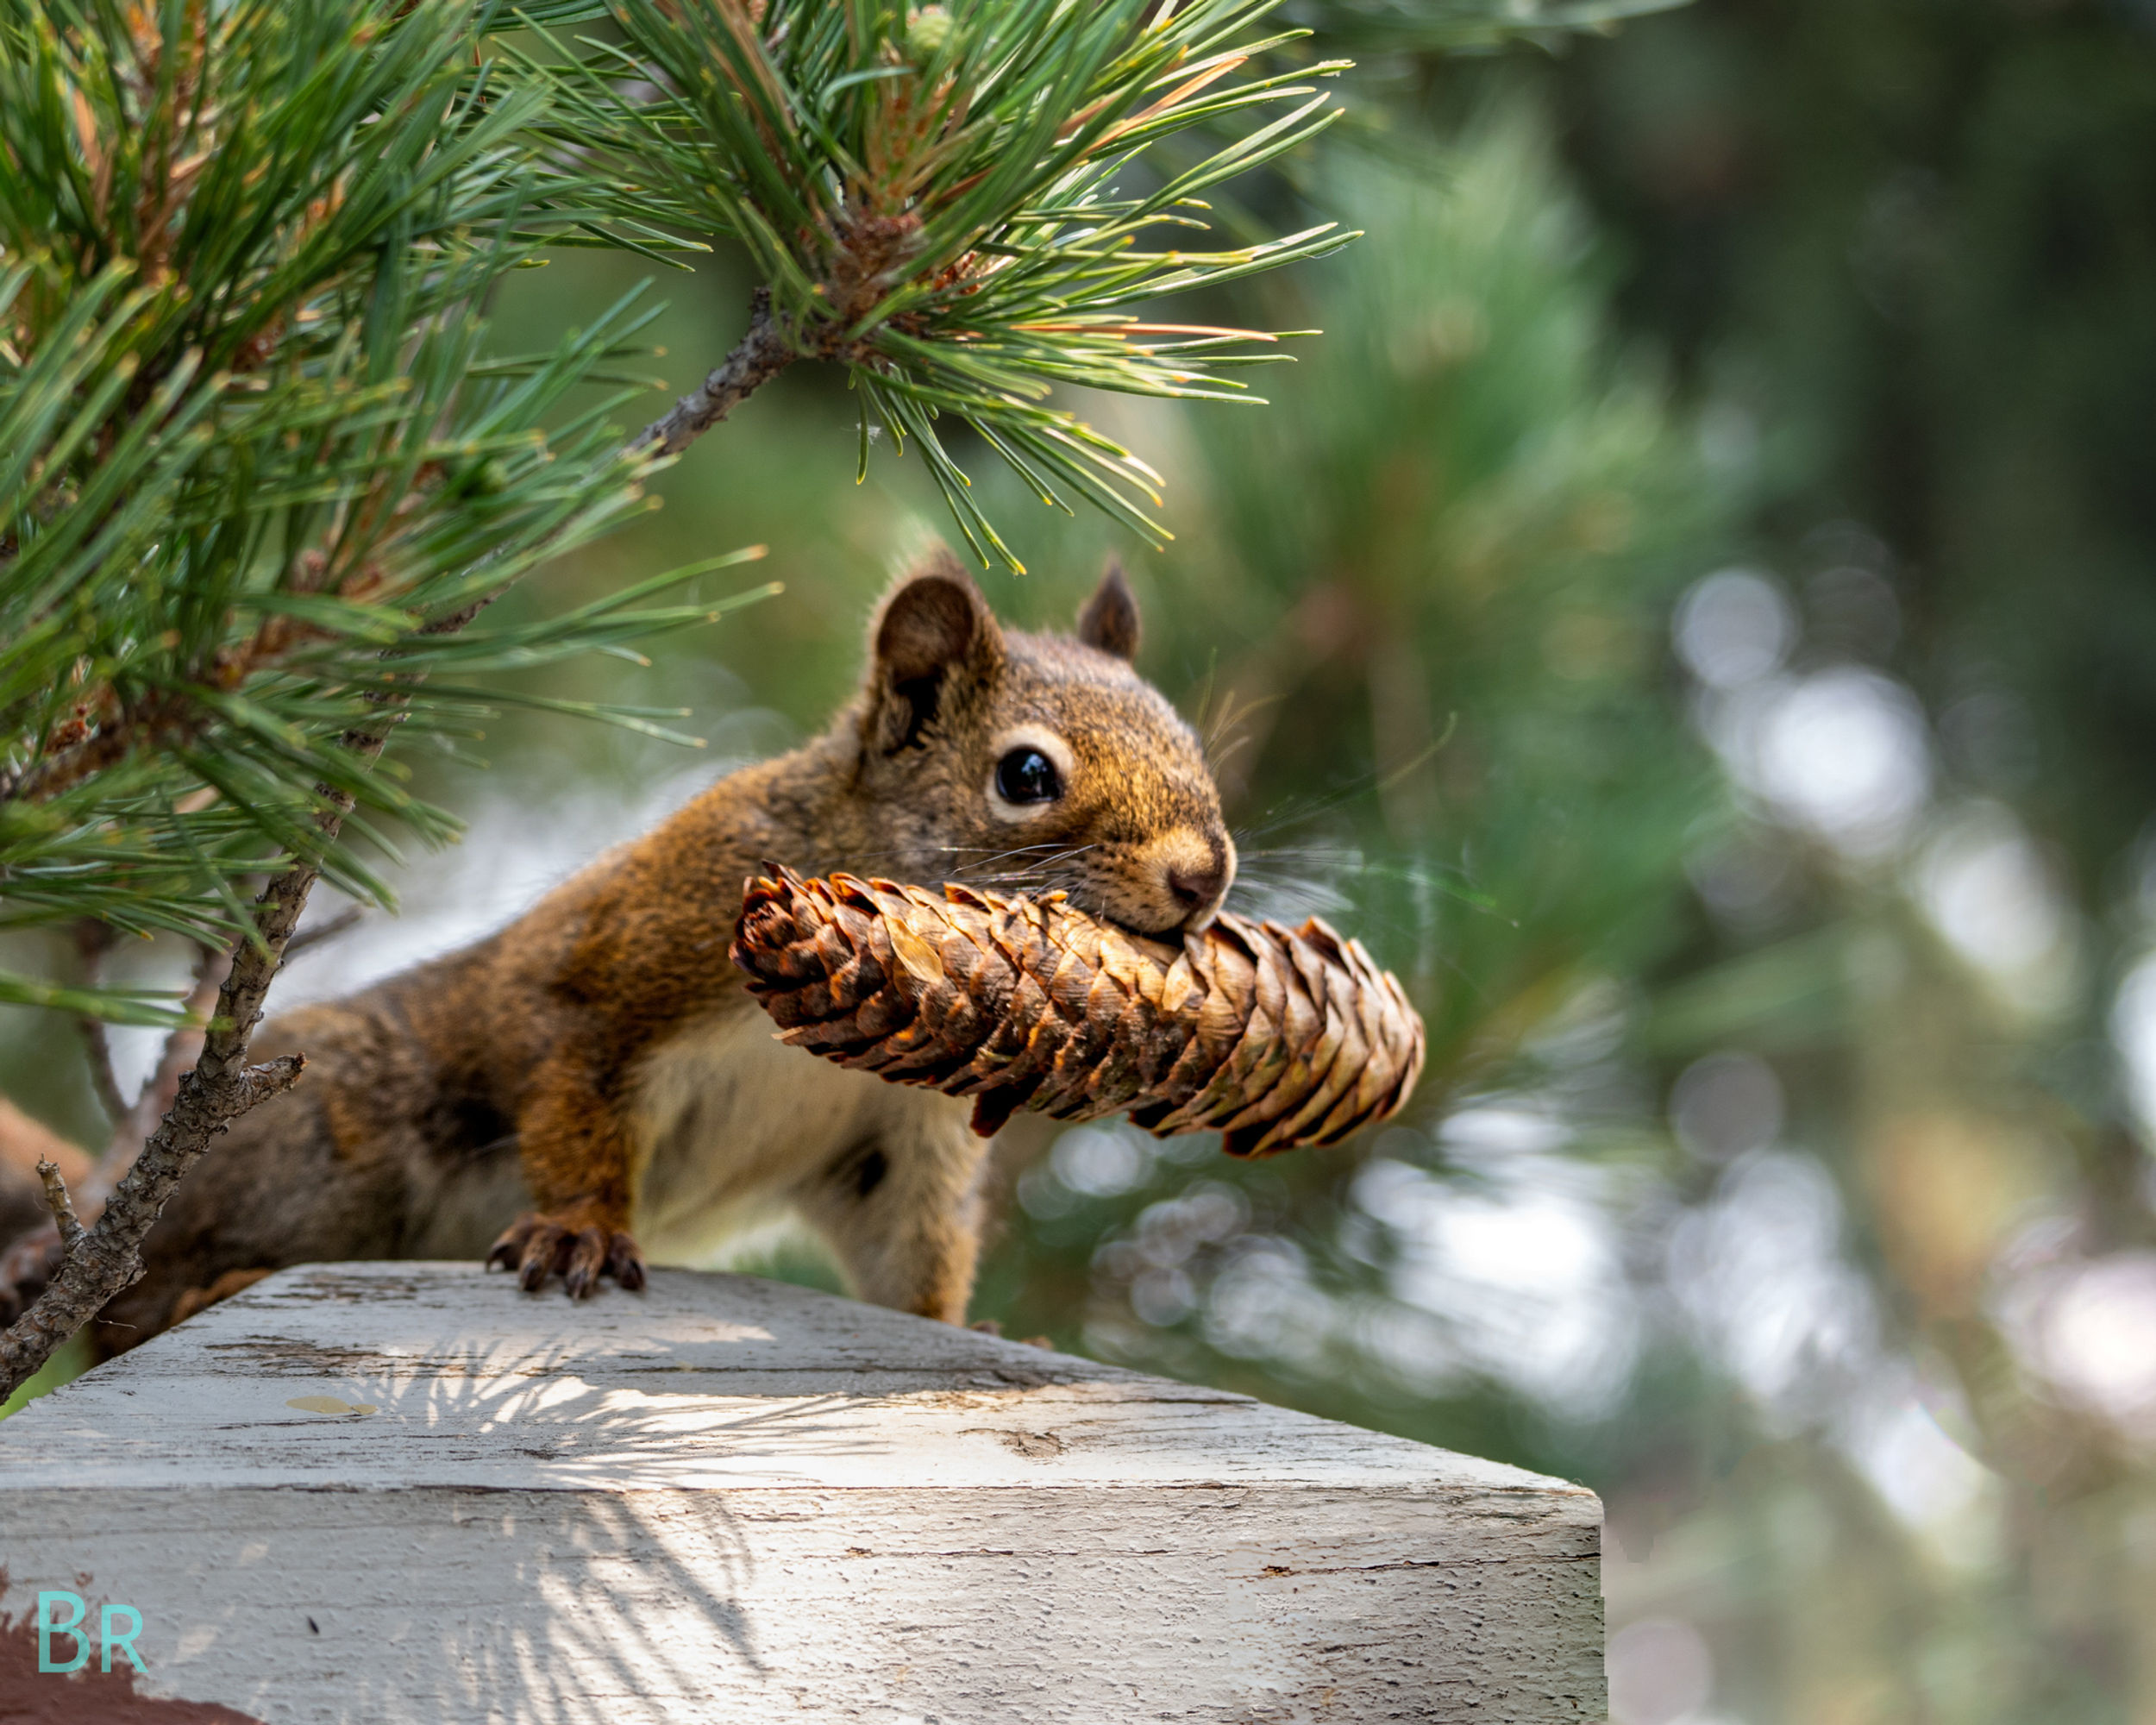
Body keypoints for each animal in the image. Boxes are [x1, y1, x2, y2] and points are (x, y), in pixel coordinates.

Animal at [2, 549, 1236, 1352]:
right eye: (1025, 774)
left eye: (1185, 735)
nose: (1204, 877)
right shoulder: (617, 975)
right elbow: (577, 1097)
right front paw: (581, 1235)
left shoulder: (893, 1137)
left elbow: (913, 1251)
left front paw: (963, 1325)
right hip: (323, 1134)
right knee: (132, 1304)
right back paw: (205, 1283)